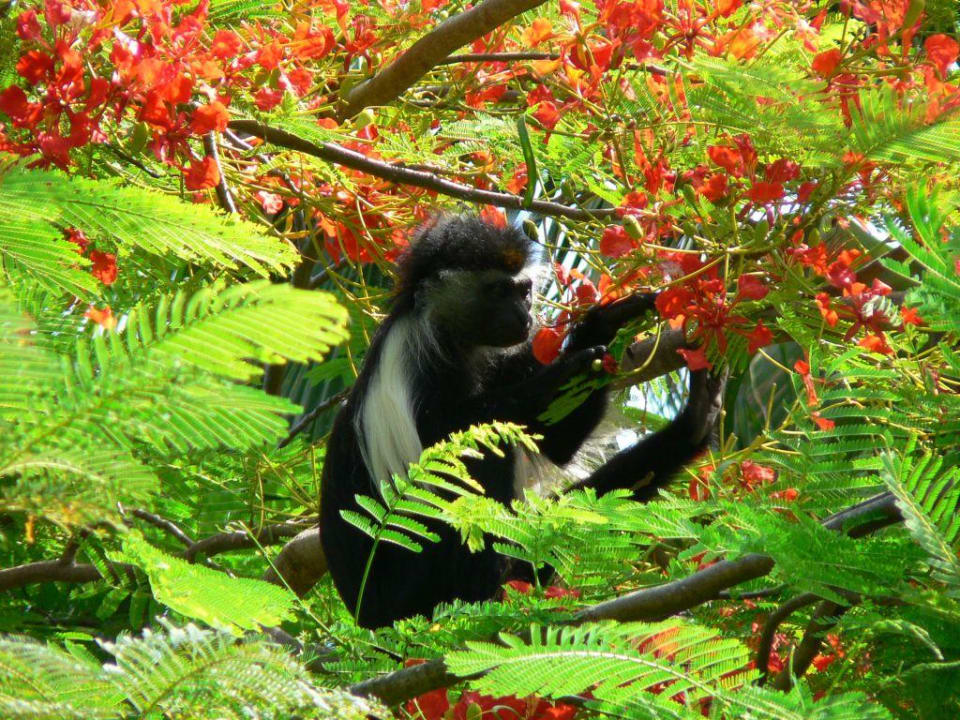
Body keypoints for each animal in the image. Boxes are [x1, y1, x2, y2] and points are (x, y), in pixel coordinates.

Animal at [319, 216, 725, 628]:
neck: (454, 335)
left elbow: (557, 444)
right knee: (475, 466)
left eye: (524, 291)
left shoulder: (501, 362)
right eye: (500, 291)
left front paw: (604, 325)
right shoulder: (418, 357)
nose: (525, 317)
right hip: (416, 578)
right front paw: (565, 369)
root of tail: (367, 613)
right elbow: (448, 437)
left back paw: (697, 418)